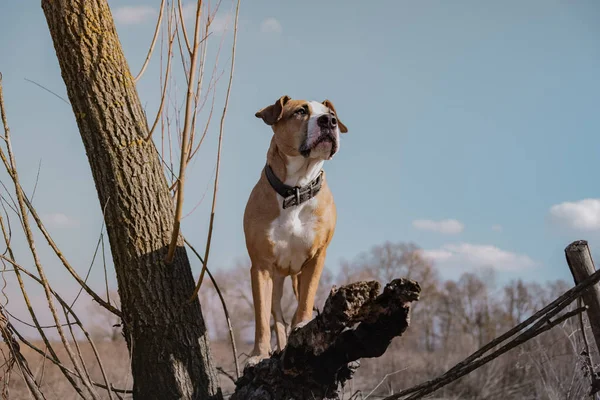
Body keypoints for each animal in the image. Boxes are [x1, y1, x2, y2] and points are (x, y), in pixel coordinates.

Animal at [243, 95, 346, 364]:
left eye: (332, 114)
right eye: (300, 111)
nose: (328, 121)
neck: (296, 190)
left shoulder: (316, 258)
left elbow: (306, 300)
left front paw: (301, 326)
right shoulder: (261, 266)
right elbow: (261, 319)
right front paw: (258, 354)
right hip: (276, 280)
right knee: (276, 316)